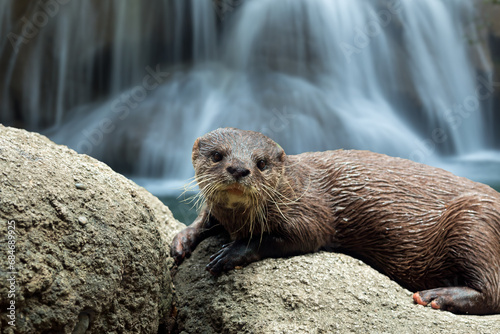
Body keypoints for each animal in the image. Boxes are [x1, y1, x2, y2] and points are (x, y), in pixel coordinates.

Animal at [172, 126, 500, 314]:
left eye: (261, 163)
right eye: (217, 155)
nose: (239, 169)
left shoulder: (309, 213)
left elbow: (288, 239)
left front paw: (229, 253)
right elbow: (205, 219)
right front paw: (181, 240)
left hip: (474, 224)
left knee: (492, 290)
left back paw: (435, 296)